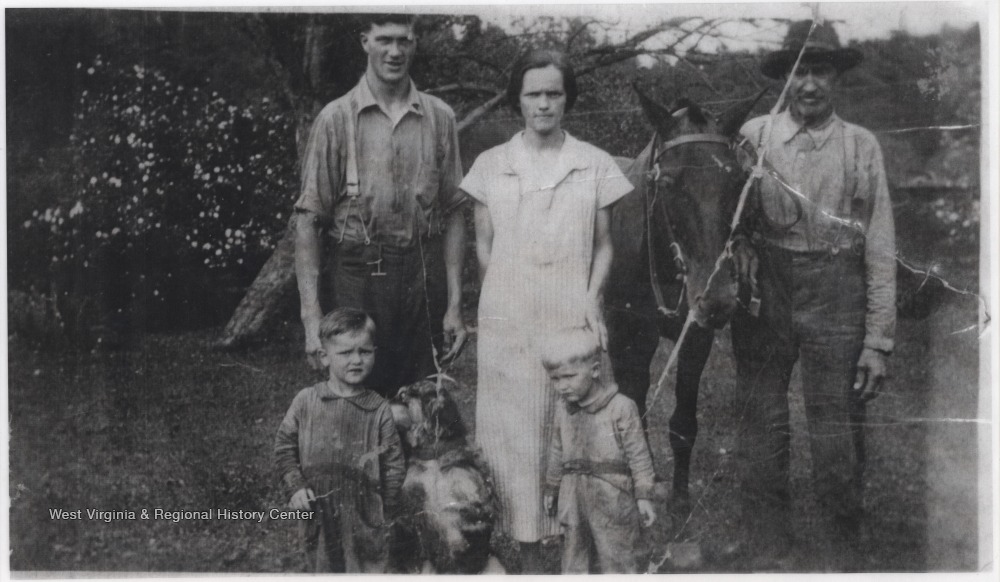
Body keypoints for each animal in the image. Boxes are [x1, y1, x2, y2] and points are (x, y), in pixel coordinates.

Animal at [389, 379, 505, 574]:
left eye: (415, 392)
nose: (396, 394)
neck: (434, 458)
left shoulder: (477, 499)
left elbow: (474, 515)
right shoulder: (409, 498)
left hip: (495, 565)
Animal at [606, 86, 764, 515]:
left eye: (738, 181)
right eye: (668, 183)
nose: (717, 298)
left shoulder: (696, 336)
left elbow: (682, 424)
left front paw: (678, 501)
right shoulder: (628, 335)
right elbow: (634, 406)